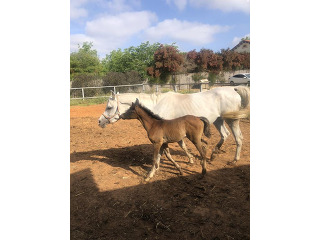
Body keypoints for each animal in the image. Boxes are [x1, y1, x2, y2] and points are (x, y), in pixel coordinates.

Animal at [97, 86, 250, 163]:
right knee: (225, 135)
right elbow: (182, 145)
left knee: (238, 138)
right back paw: (213, 155)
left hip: (232, 120)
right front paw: (190, 159)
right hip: (219, 120)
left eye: (109, 107)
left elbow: (176, 147)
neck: (157, 104)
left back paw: (234, 160)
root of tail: (234, 90)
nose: (100, 121)